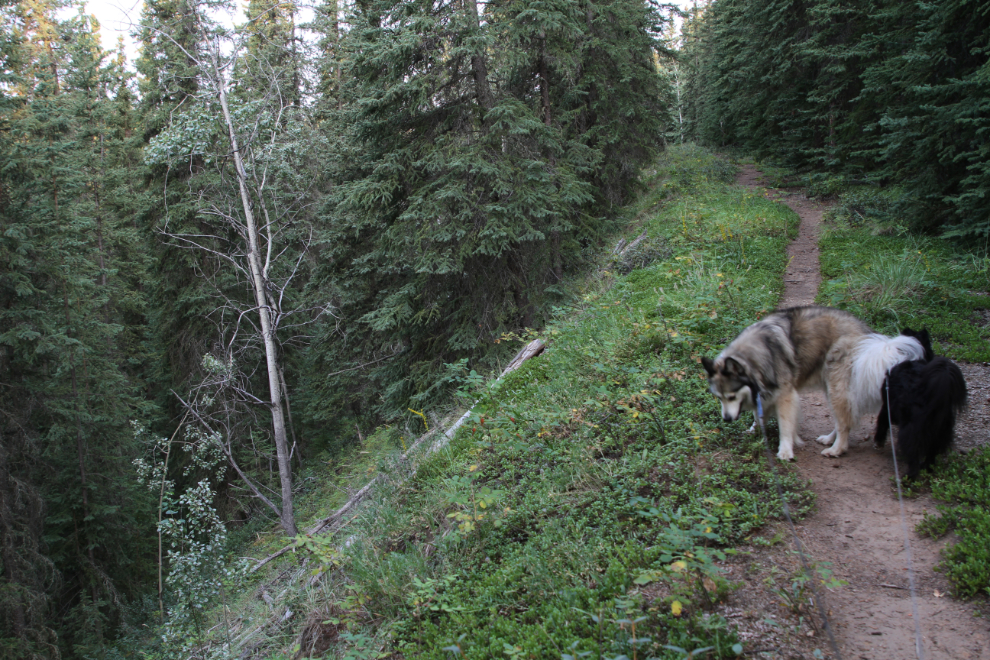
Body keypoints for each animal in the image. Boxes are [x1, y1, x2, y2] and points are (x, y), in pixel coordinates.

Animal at [700, 308, 928, 458]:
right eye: (719, 398)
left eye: (731, 396)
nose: (727, 419)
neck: (755, 357)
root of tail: (869, 340)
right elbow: (759, 414)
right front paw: (755, 429)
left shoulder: (786, 396)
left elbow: (785, 425)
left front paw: (785, 450)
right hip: (831, 388)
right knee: (843, 419)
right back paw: (830, 439)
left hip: (836, 388)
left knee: (844, 422)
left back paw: (836, 449)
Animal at [876, 330, 968, 480]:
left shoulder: (886, 407)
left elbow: (881, 424)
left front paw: (878, 442)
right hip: (939, 434)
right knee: (931, 455)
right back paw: (927, 468)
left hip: (910, 431)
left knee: (913, 458)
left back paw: (908, 478)